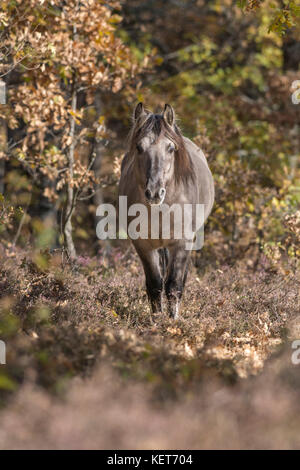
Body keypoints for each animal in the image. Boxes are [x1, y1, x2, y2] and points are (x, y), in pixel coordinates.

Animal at [117, 103, 213, 320]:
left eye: (170, 148)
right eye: (139, 147)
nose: (154, 192)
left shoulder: (182, 242)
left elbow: (174, 285)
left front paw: (173, 320)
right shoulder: (143, 245)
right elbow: (154, 284)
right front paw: (156, 319)